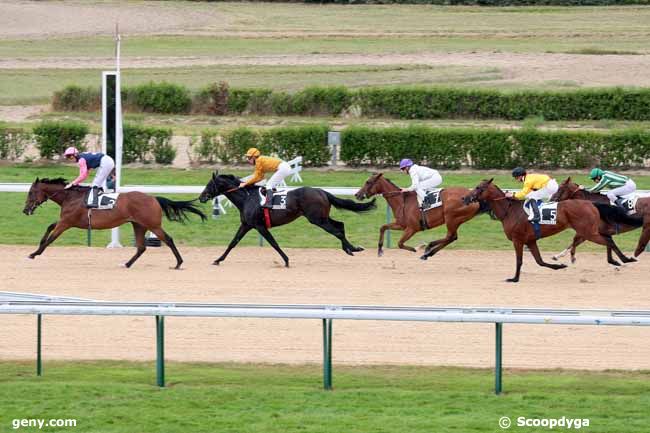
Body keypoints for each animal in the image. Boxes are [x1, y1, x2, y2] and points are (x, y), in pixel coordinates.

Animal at [22, 177, 205, 268]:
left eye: (31, 192)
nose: (25, 210)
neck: (70, 197)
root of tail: (154, 198)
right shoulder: (65, 221)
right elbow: (49, 227)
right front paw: (36, 248)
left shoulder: (66, 222)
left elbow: (52, 238)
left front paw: (35, 253)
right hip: (138, 225)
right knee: (141, 247)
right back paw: (127, 263)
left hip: (153, 225)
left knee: (168, 239)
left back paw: (178, 263)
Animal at [197, 170, 374, 264]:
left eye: (209, 184)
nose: (201, 197)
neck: (247, 198)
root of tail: (322, 191)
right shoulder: (246, 225)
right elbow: (233, 242)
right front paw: (218, 259)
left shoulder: (259, 226)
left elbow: (273, 243)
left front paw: (286, 260)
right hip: (322, 217)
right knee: (340, 225)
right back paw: (350, 249)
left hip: (317, 219)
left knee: (337, 230)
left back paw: (353, 248)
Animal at [354, 173, 486, 260]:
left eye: (368, 182)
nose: (357, 194)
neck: (402, 201)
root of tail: (474, 198)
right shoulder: (401, 225)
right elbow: (383, 227)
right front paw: (380, 250)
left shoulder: (412, 228)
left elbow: (400, 243)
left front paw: (416, 248)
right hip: (456, 220)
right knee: (452, 237)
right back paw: (428, 252)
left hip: (451, 218)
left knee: (450, 236)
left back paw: (428, 248)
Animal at [464, 178, 632, 282]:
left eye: (478, 188)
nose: (465, 198)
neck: (509, 211)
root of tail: (591, 204)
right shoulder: (530, 240)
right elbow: (540, 261)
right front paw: (560, 266)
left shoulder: (518, 240)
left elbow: (519, 260)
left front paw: (514, 279)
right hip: (588, 231)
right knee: (608, 239)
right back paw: (618, 260)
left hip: (589, 232)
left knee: (608, 240)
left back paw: (625, 259)